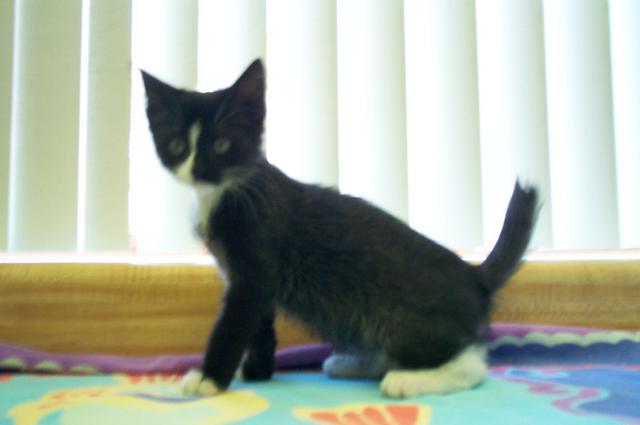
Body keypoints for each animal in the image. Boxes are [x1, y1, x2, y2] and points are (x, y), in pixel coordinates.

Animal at [141, 59, 538, 399]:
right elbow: (260, 326)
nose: (196, 171)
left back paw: (408, 380)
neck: (228, 190)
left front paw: (208, 380)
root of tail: (474, 275)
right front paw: (257, 371)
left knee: (471, 362)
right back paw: (353, 364)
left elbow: (232, 326)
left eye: (222, 145)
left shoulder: (254, 270)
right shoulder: (254, 280)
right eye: (177, 145)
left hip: (407, 321)